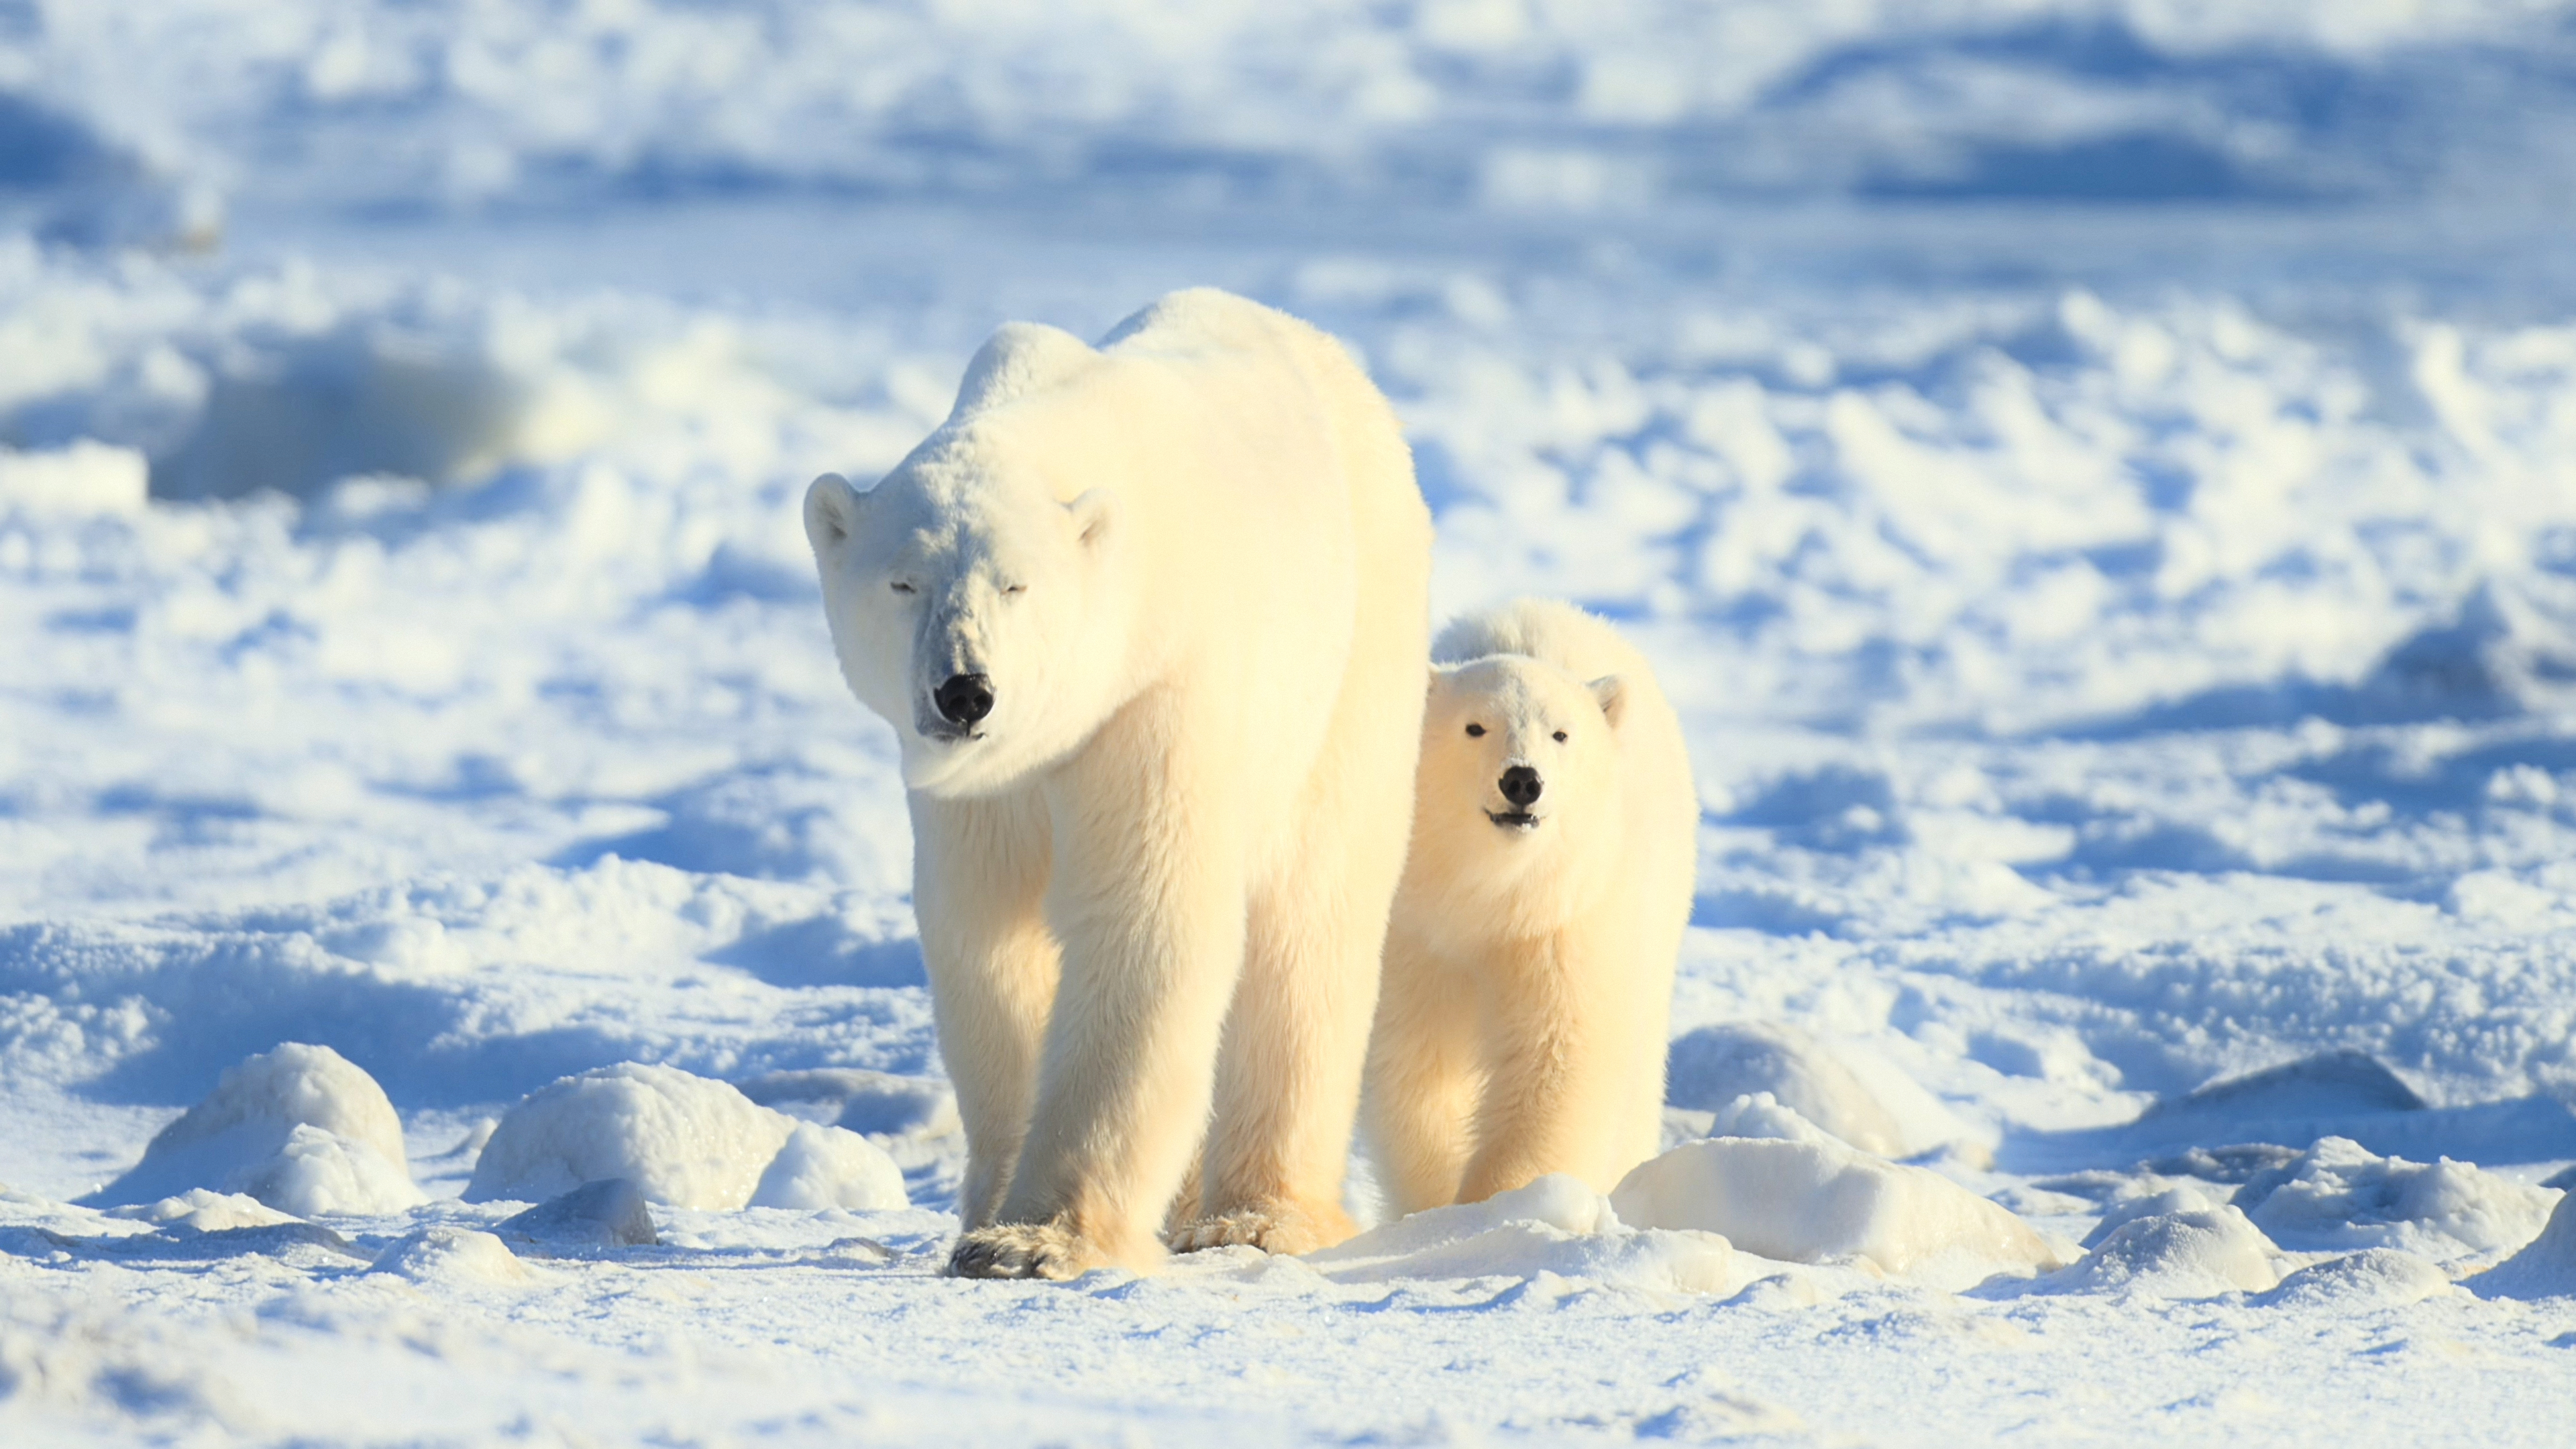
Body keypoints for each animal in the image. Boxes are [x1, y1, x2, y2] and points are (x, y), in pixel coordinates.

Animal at [804, 289, 1432, 1278]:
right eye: (903, 582)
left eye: (1015, 585)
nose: (965, 691)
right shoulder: (978, 793)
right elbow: (985, 936)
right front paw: (986, 1213)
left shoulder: (1157, 695)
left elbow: (1144, 916)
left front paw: (1034, 1241)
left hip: (1350, 664)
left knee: (1308, 923)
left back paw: (1259, 1215)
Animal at [1363, 597, 1697, 1213]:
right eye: (1474, 726)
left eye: (1561, 734)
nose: (1522, 780)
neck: (1495, 894)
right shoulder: (1417, 935)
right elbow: (1416, 1064)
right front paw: (1436, 1204)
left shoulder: (1566, 923)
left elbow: (1557, 1057)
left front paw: (1499, 1201)